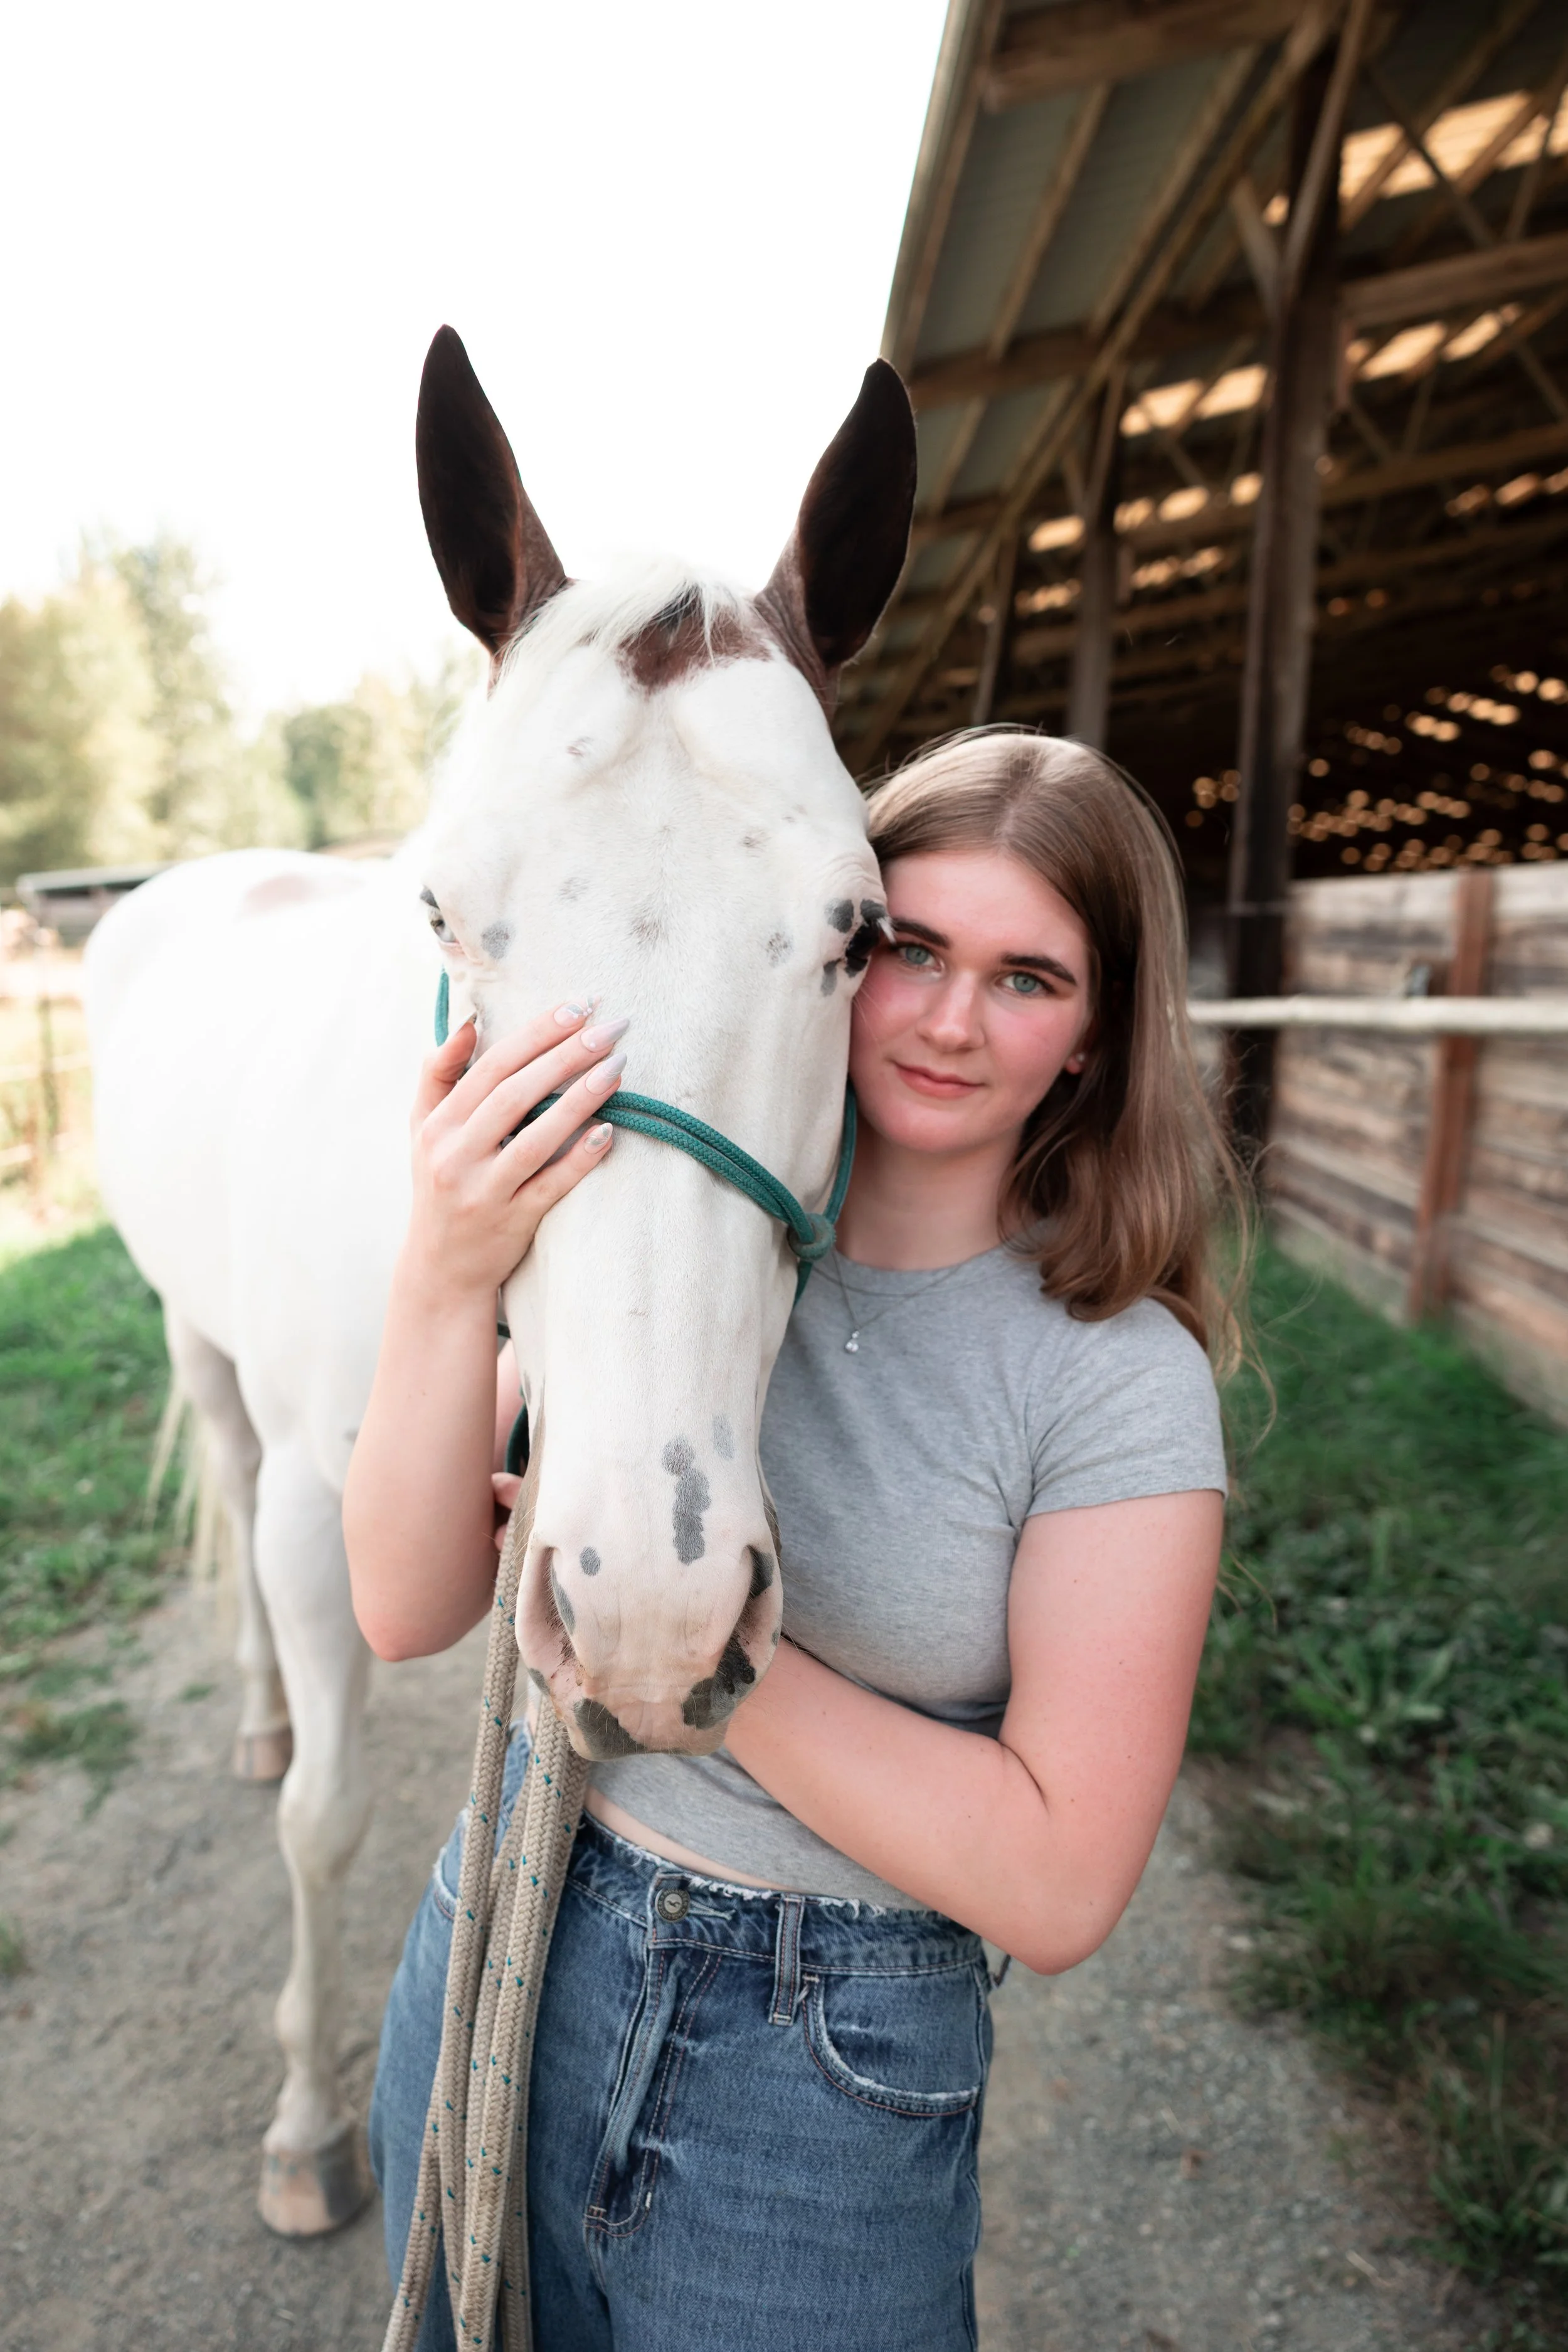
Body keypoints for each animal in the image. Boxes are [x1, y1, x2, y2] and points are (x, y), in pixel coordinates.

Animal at [86, 327, 915, 2241]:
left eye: (858, 931)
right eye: (446, 914)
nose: (653, 1615)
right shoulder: (322, 1501)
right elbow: (323, 1816)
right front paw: (308, 2122)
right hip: (202, 1352)